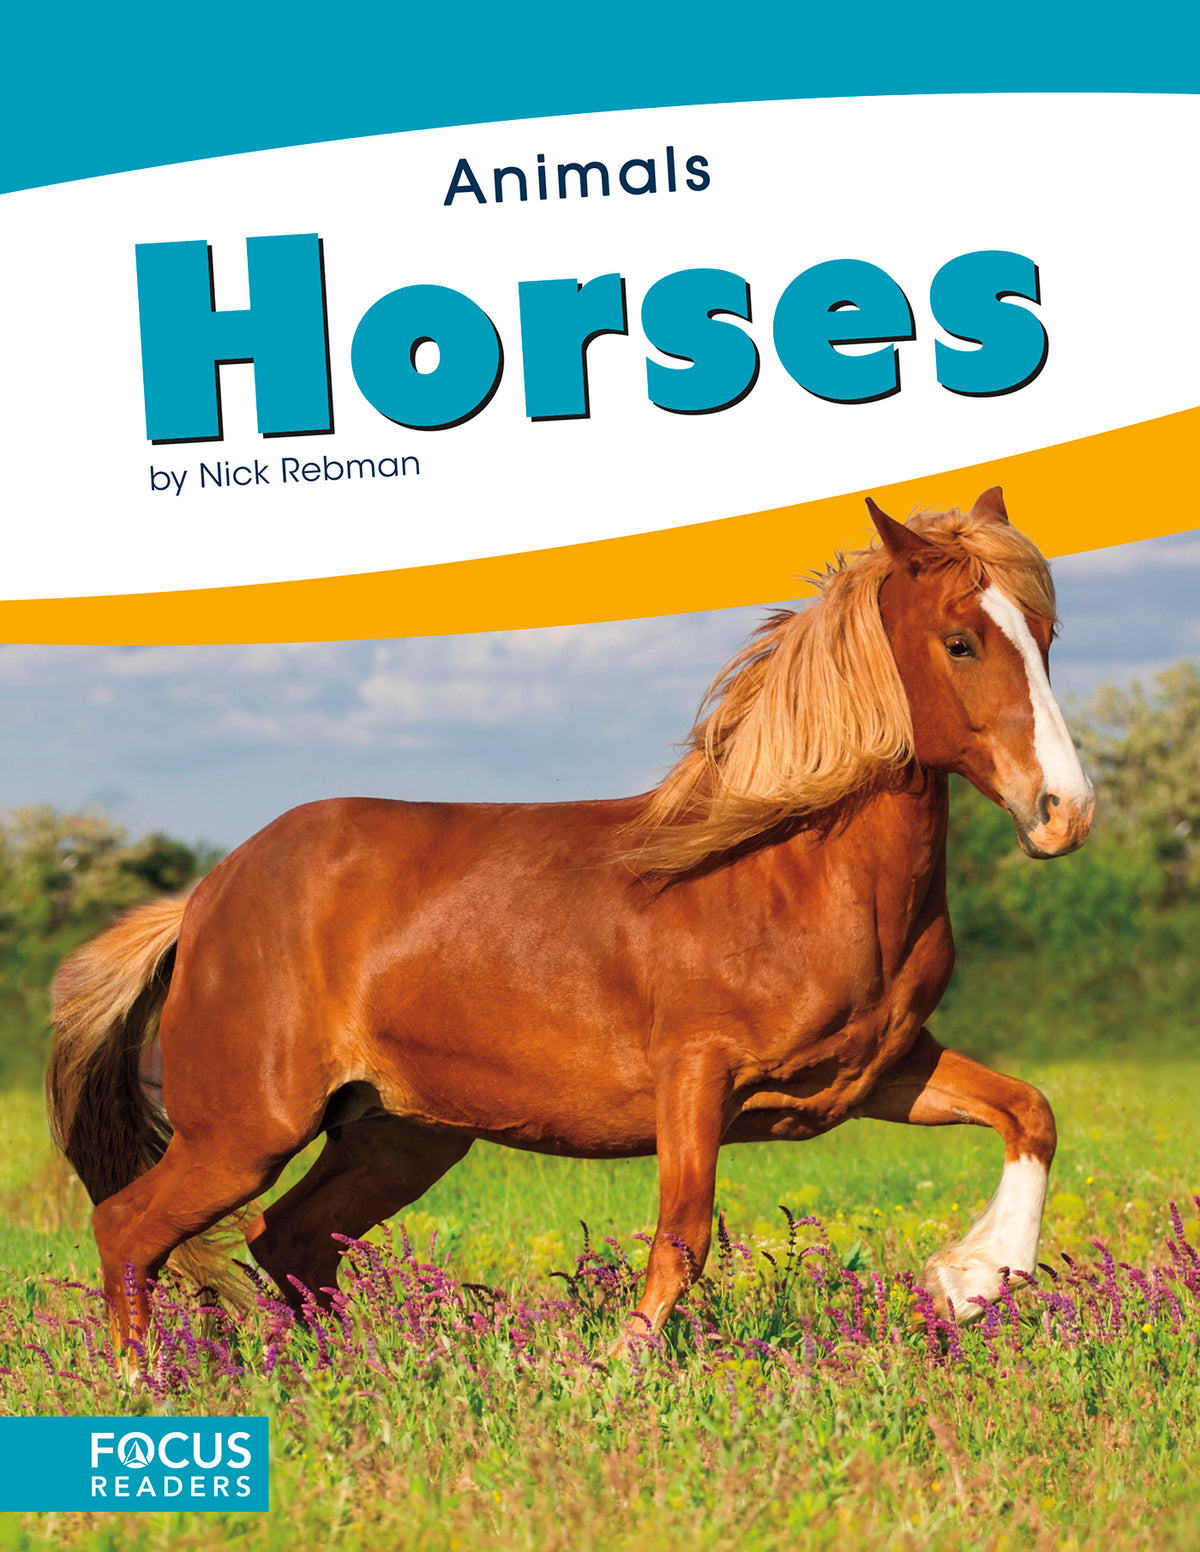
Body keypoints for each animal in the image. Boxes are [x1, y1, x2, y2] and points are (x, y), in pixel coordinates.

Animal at [47, 487, 1095, 1348]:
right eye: (961, 641)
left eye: (1045, 634)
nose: (1064, 812)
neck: (784, 875)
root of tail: (205, 900)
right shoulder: (696, 1078)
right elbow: (682, 1235)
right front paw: (619, 1371)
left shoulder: (872, 1073)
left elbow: (1029, 1111)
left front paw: (971, 1281)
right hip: (245, 1132)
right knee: (129, 1228)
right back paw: (154, 1390)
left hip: (399, 1132)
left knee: (289, 1239)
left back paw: (355, 1371)